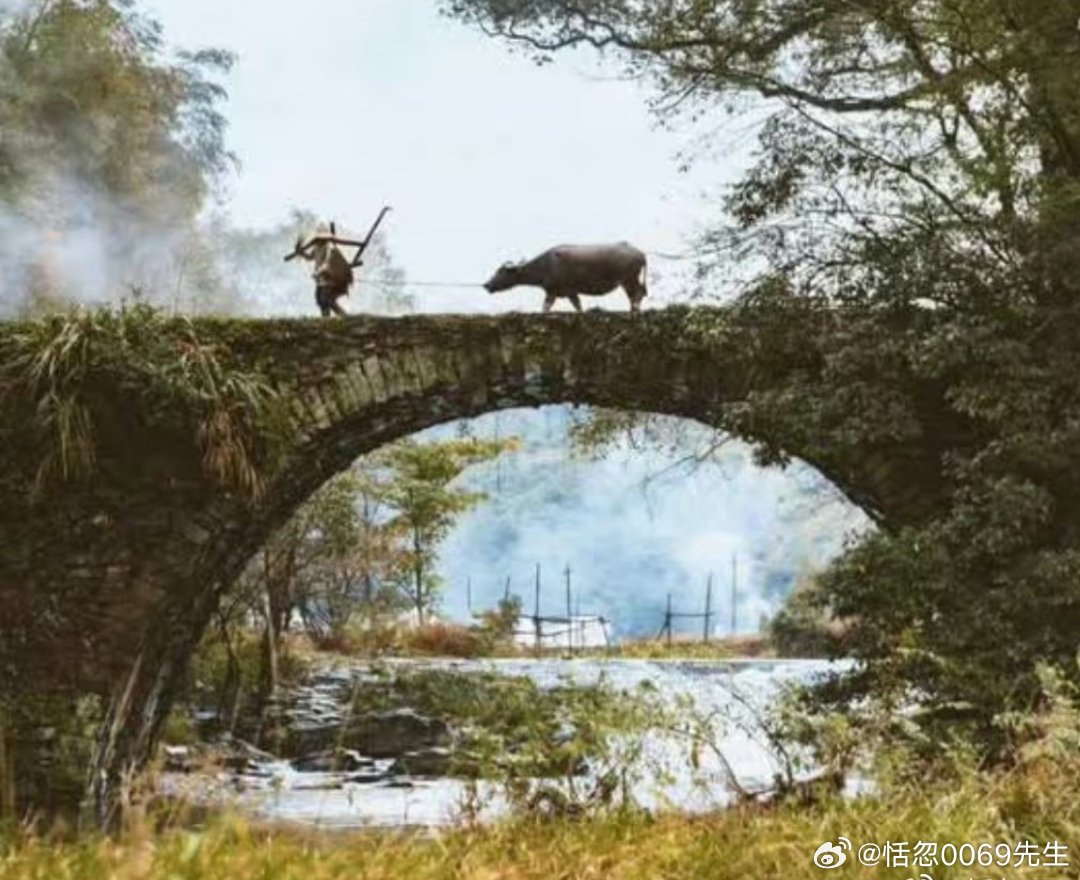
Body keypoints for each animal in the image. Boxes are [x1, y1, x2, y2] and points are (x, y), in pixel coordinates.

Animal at [483, 242, 648, 315]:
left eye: (501, 272)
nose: (487, 285)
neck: (546, 265)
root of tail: (640, 253)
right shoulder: (566, 292)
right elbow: (576, 306)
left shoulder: (556, 292)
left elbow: (547, 307)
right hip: (629, 280)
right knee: (636, 294)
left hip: (628, 279)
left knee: (637, 293)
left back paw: (634, 310)